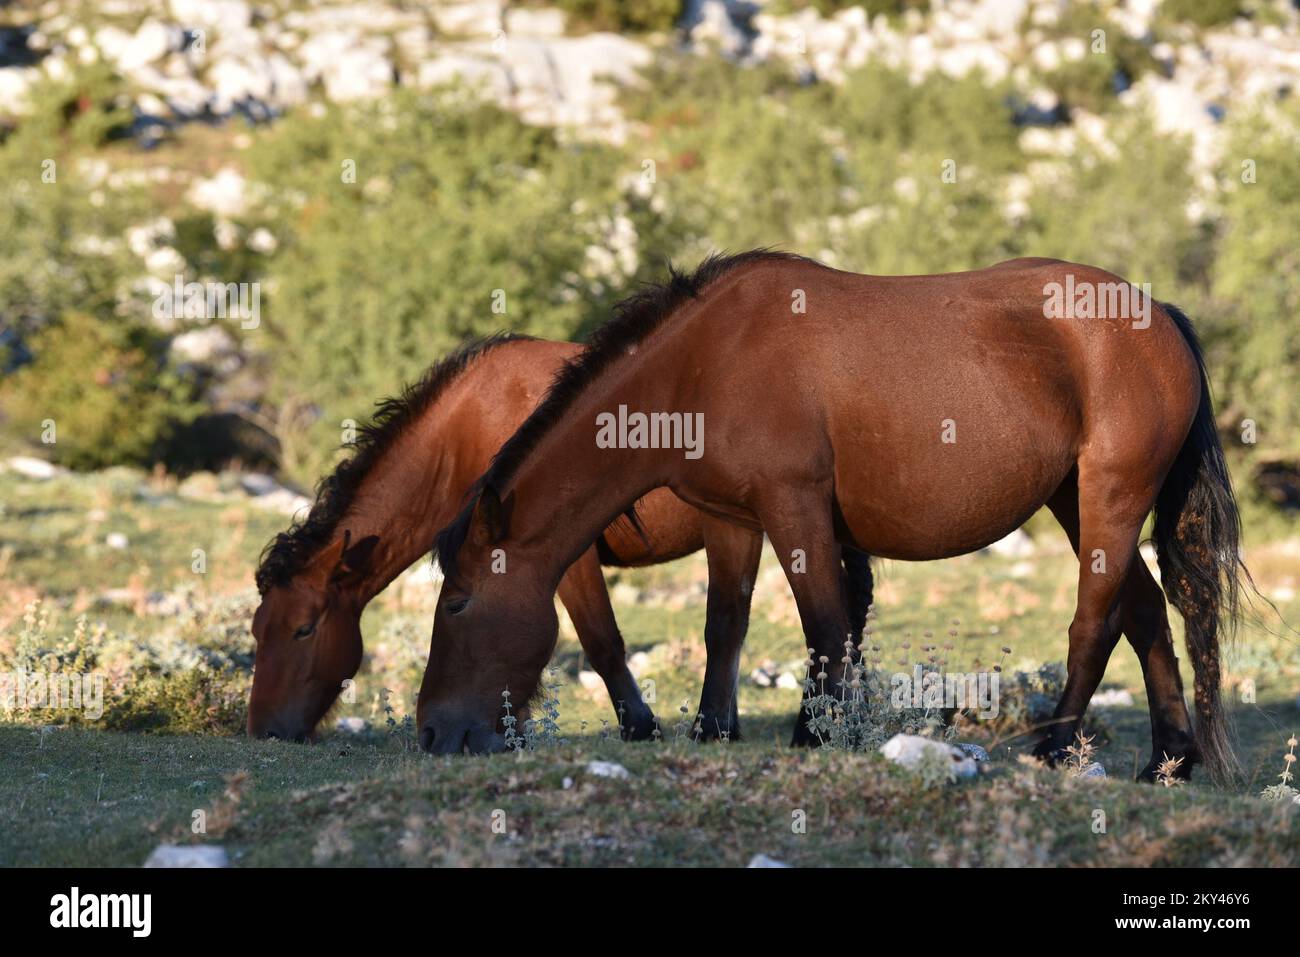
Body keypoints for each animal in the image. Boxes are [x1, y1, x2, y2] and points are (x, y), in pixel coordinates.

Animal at [245, 332, 873, 743]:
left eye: (303, 630)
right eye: (257, 632)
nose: (264, 730)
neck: (468, 428)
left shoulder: (564, 559)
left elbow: (601, 641)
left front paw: (636, 725)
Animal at [423, 248, 1248, 785]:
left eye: (457, 600)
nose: (432, 730)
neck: (705, 361)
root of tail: (1159, 316)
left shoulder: (795, 508)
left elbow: (824, 627)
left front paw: (822, 735)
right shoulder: (735, 519)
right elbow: (728, 624)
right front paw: (717, 729)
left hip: (1110, 498)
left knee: (1096, 620)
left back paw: (1054, 748)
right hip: (1075, 502)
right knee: (1146, 613)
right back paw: (1168, 759)